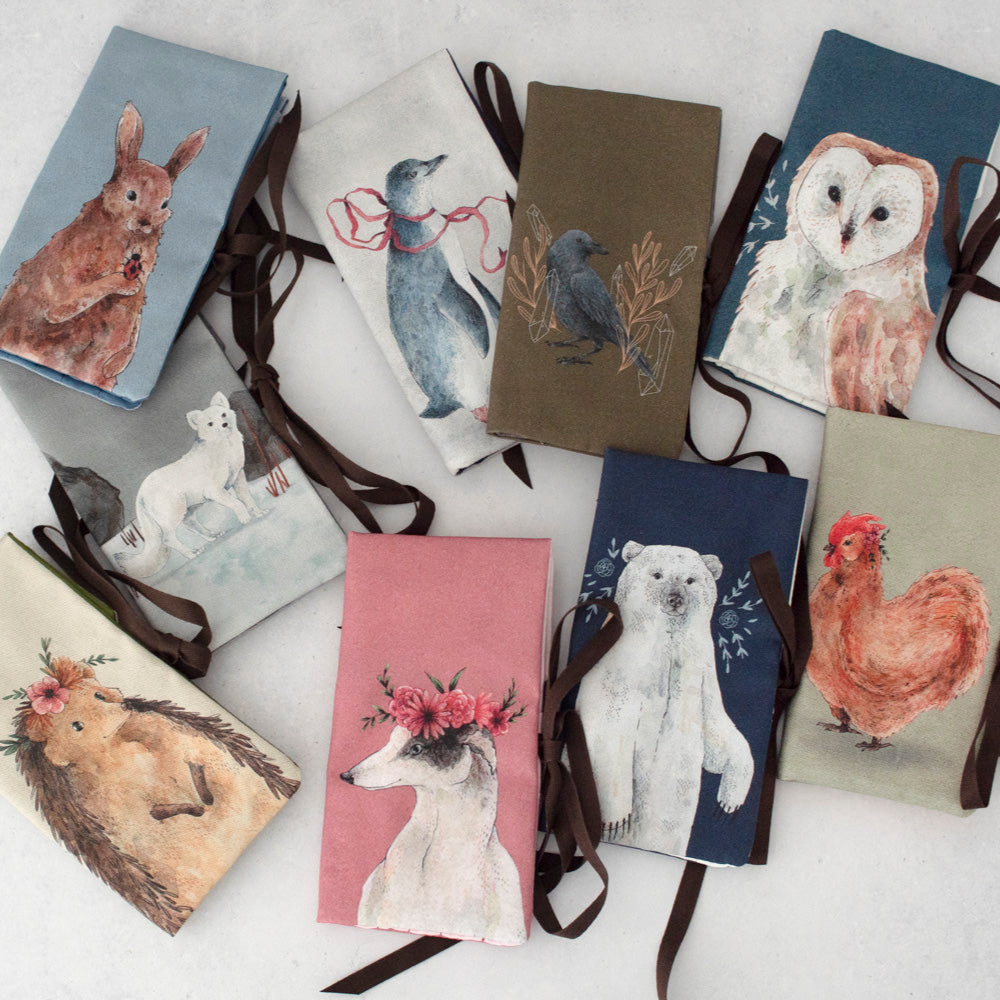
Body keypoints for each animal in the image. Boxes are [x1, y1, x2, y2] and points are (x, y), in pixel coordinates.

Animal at [0, 101, 208, 391]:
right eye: (131, 194)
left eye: (165, 203)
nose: (145, 222)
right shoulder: (64, 291)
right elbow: (71, 303)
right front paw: (125, 285)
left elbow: (135, 328)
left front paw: (115, 366)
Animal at [576, 540, 754, 857]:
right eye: (657, 574)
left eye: (690, 580)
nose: (675, 599)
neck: (667, 644)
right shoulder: (619, 672)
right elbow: (606, 734)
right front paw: (615, 819)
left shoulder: (702, 677)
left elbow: (718, 733)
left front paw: (727, 804)